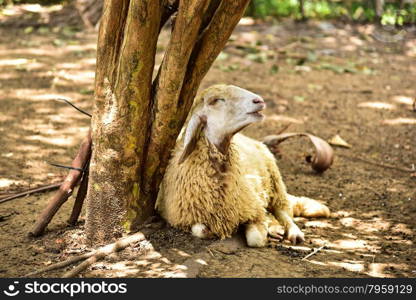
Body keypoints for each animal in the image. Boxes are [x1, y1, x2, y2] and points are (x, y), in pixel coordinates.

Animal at [154, 84, 330, 246]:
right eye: (216, 100)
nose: (259, 100)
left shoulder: (254, 208)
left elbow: (256, 239)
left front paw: (262, 230)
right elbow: (200, 230)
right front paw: (212, 231)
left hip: (276, 183)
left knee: (284, 212)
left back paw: (292, 232)